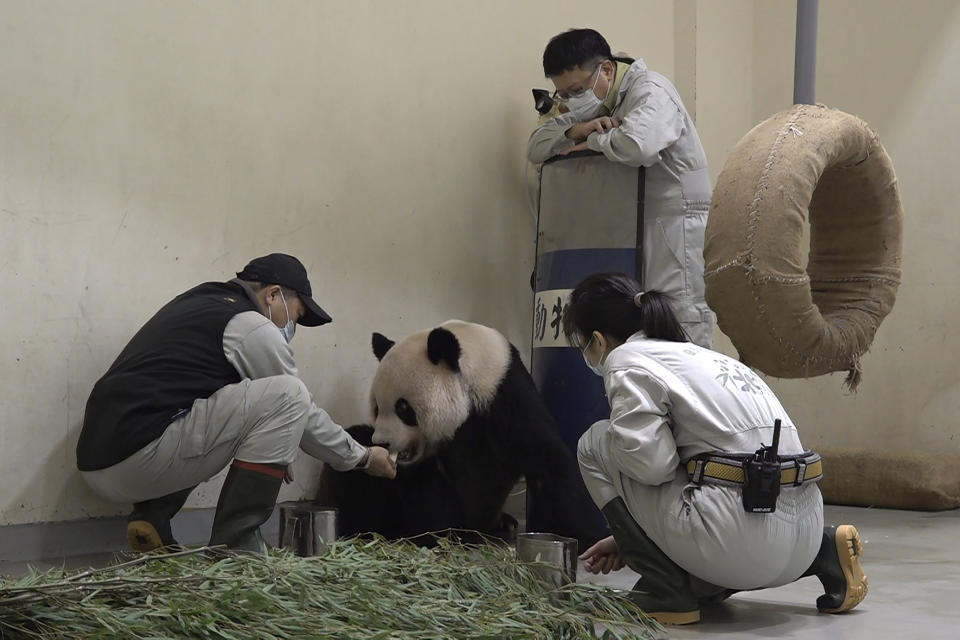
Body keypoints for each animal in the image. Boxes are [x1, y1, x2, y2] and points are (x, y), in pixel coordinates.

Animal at [316, 320, 608, 552]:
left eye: (403, 408)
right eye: (377, 407)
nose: (382, 443)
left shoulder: (506, 398)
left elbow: (547, 458)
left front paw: (589, 538)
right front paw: (438, 532)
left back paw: (500, 525)